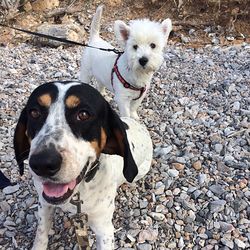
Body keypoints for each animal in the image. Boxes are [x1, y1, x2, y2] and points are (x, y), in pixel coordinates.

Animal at [14, 81, 153, 249]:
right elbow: (41, 234)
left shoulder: (104, 229)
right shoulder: (44, 204)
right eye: (34, 112)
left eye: (84, 114)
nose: (42, 163)